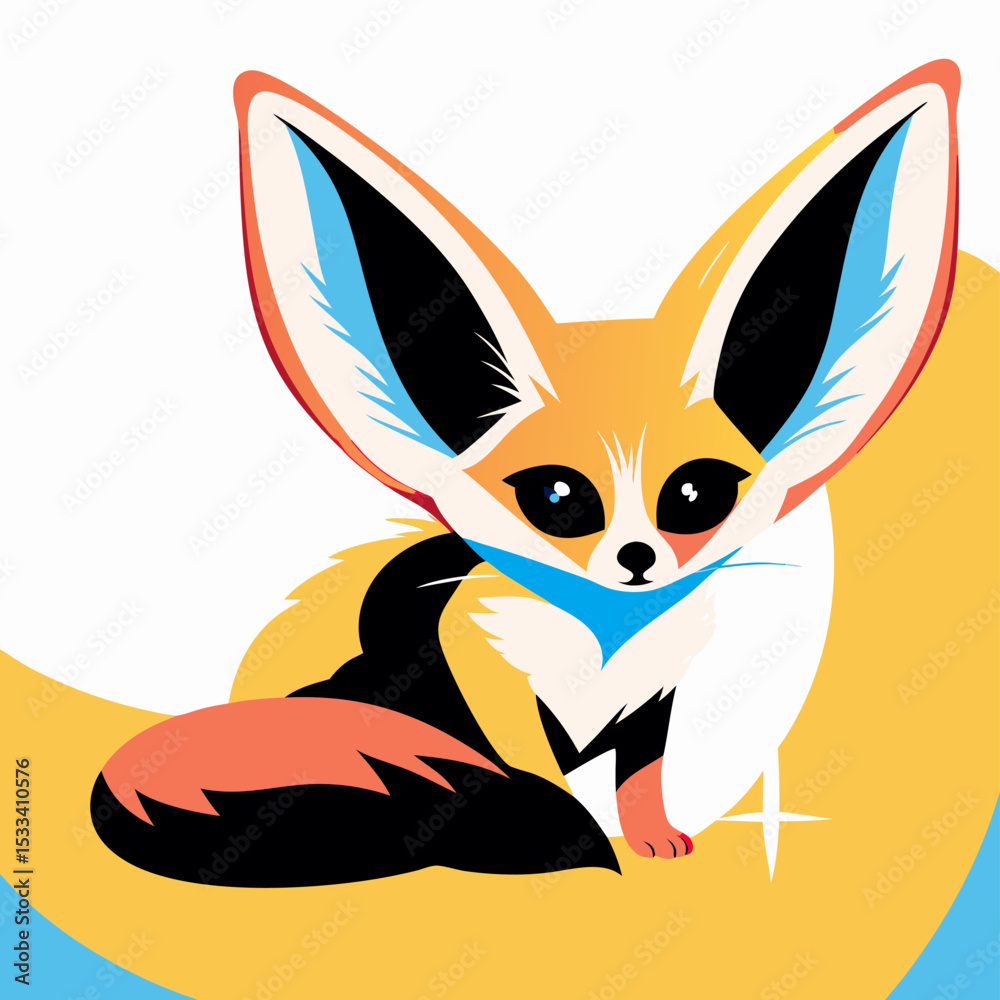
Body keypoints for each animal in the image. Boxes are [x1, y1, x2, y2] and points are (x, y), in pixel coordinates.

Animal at [92, 60, 960, 886]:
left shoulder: (656, 701)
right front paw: (589, 846)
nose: (637, 559)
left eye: (693, 494)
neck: (606, 637)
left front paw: (652, 837)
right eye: (557, 496)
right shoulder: (491, 687)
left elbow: (639, 778)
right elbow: (543, 781)